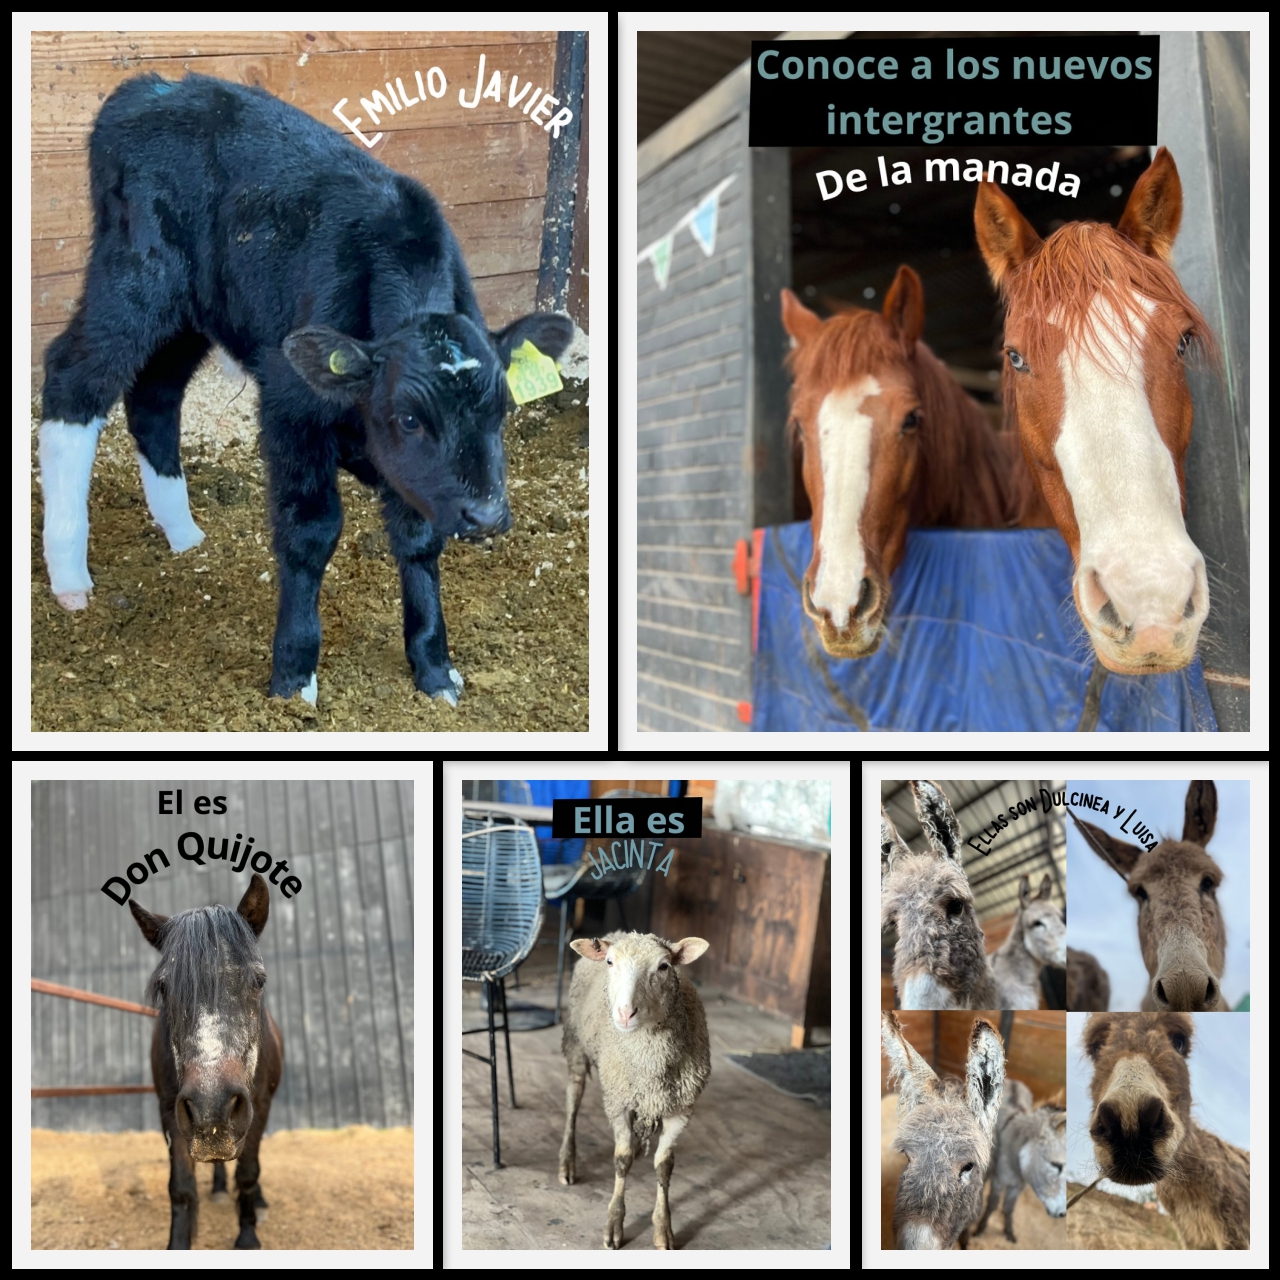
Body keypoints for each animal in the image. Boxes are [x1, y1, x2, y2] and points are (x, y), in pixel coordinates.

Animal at [130, 872, 284, 1249]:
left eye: (259, 981)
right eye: (164, 988)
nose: (211, 1107)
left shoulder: (258, 1105)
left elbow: (248, 1173)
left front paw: (248, 1237)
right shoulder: (171, 1110)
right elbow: (181, 1189)